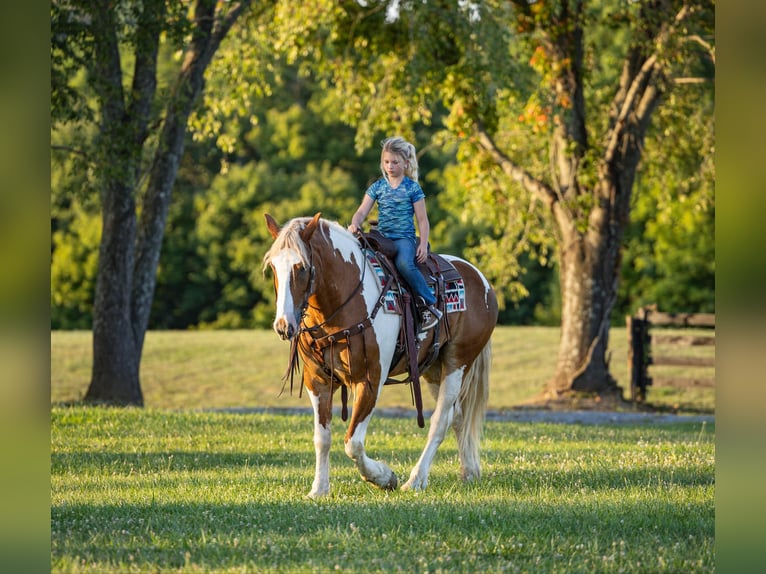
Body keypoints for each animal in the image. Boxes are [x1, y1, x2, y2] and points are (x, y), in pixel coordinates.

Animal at [263, 212, 498, 497]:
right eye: (273, 267)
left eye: (301, 268)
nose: (283, 326)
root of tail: (481, 280)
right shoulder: (317, 382)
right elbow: (322, 438)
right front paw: (319, 489)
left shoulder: (370, 380)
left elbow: (353, 443)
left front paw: (384, 477)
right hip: (434, 369)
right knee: (459, 416)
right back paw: (469, 472)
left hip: (457, 363)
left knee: (440, 421)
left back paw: (415, 479)